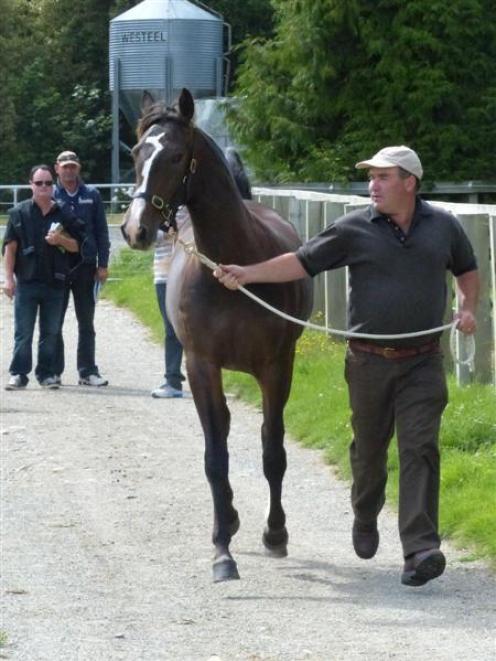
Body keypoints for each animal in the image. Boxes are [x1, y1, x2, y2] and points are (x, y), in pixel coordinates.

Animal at [121, 89, 312, 584]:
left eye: (173, 155)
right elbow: (214, 458)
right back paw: (225, 519)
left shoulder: (276, 367)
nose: (135, 229)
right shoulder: (200, 365)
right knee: (220, 434)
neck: (233, 266)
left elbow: (272, 449)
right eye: (136, 153)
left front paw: (275, 534)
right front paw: (222, 552)